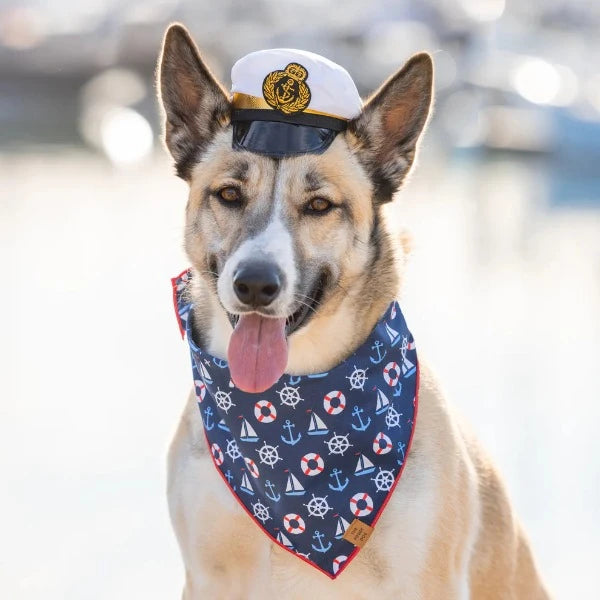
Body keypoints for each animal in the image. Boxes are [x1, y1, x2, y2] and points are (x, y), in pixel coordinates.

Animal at [157, 22, 552, 600]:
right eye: (229, 194)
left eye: (320, 205)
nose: (255, 284)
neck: (295, 393)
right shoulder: (210, 578)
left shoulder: (425, 581)